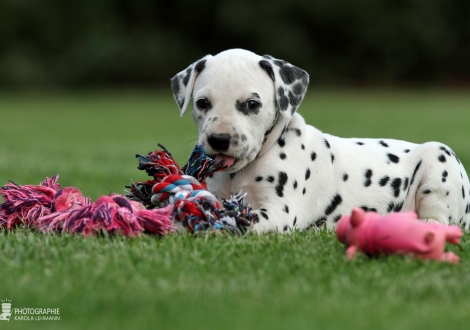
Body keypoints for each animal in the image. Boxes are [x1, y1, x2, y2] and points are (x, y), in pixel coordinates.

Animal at [170, 48, 470, 232]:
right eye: (202, 103)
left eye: (252, 104)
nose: (219, 140)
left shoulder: (278, 213)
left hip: (440, 157)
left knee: (438, 220)